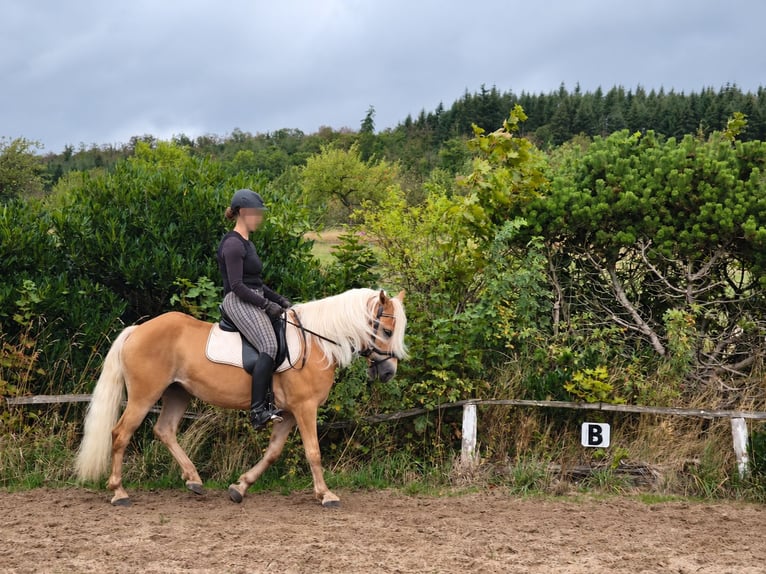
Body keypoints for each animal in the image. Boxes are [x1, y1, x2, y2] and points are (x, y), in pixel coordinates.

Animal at [75, 288, 407, 508]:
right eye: (387, 331)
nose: (388, 372)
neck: (316, 343)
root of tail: (136, 330)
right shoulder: (305, 408)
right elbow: (313, 452)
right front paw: (326, 495)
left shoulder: (288, 413)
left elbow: (273, 453)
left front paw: (240, 487)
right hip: (144, 396)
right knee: (120, 434)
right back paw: (119, 492)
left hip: (178, 393)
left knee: (164, 430)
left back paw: (194, 480)